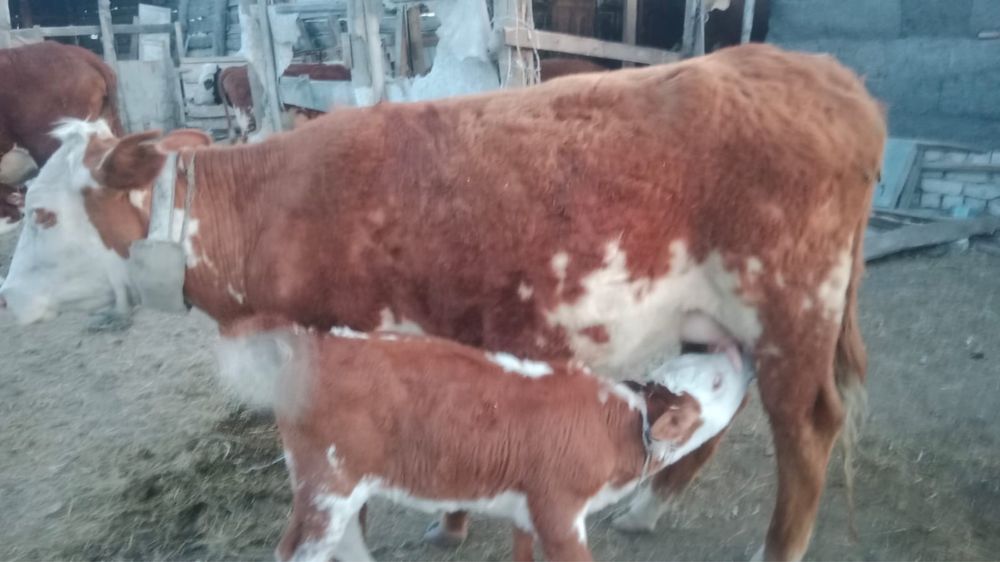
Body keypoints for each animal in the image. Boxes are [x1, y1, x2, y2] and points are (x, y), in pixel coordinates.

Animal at [217, 316, 751, 562]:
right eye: (715, 383)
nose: (738, 351)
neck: (617, 422)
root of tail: (320, 341)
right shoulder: (558, 508)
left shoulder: (527, 503)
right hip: (325, 481)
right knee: (299, 549)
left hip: (341, 483)